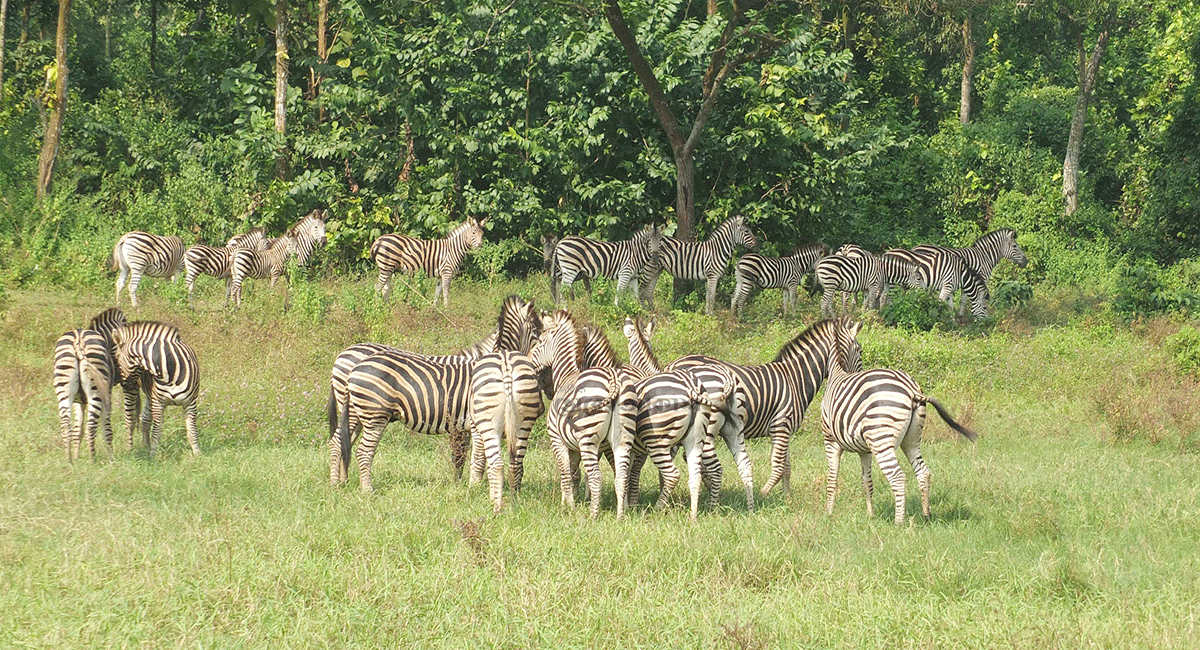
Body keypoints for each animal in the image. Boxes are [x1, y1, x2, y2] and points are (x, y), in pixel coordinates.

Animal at [111, 321, 200, 458]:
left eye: (116, 358)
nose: (118, 382)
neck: (170, 371)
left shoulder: (191, 403)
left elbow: (192, 431)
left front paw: (198, 454)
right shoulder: (158, 403)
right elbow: (157, 432)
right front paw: (153, 456)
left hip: (148, 394)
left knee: (145, 418)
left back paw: (145, 446)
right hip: (135, 391)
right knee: (130, 420)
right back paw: (130, 450)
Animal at [672, 319, 859, 496]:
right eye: (860, 350)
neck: (795, 378)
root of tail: (674, 364)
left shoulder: (784, 429)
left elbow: (787, 467)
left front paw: (787, 498)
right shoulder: (781, 425)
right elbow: (778, 466)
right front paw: (763, 494)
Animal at [820, 319, 979, 527]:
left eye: (860, 350)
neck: (837, 372)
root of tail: (913, 391)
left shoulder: (830, 441)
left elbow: (832, 479)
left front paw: (829, 513)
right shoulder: (864, 449)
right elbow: (866, 482)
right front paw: (870, 515)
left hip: (881, 440)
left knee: (897, 477)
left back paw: (898, 522)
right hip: (911, 439)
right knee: (924, 472)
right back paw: (926, 515)